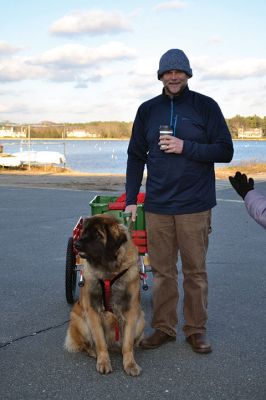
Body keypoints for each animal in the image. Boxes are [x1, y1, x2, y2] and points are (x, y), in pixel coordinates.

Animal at [64, 214, 145, 376]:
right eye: (84, 232)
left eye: (96, 234)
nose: (76, 244)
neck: (108, 270)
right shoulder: (92, 310)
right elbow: (100, 340)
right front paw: (103, 361)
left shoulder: (132, 310)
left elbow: (127, 343)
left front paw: (130, 364)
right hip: (80, 321)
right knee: (85, 345)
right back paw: (93, 352)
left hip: (141, 320)